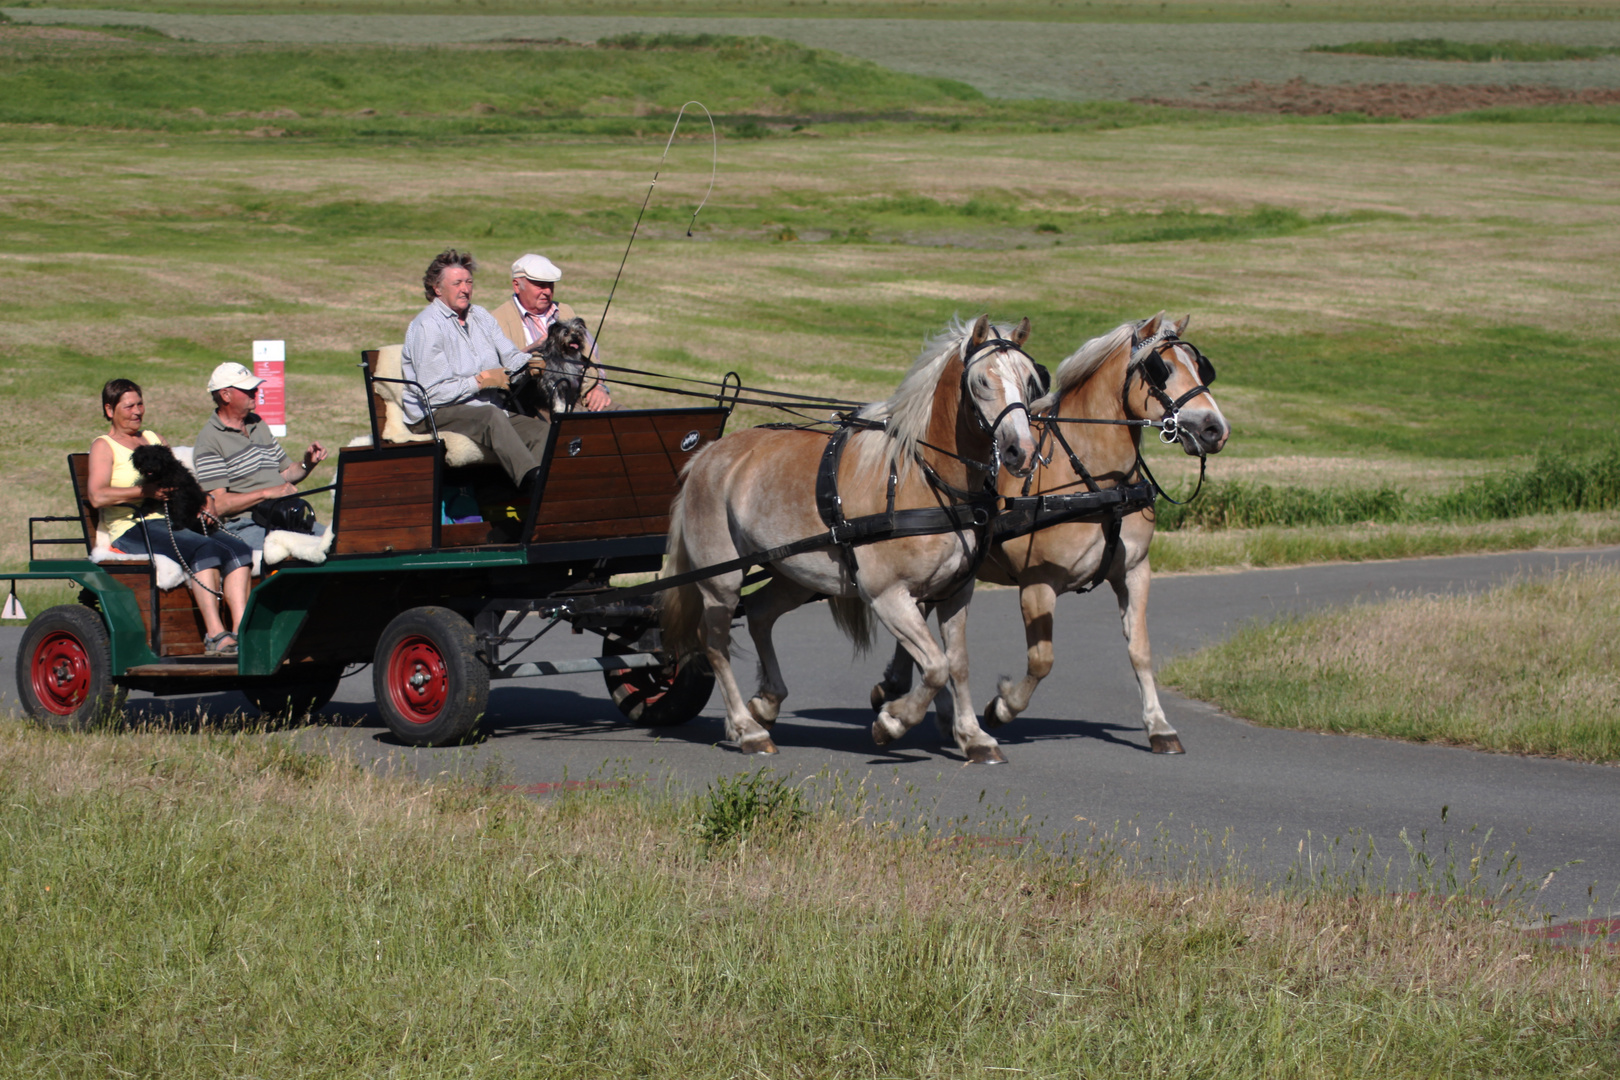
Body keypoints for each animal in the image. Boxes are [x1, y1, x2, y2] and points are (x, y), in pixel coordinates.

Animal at [664, 314, 1043, 761]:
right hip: (720, 581)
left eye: (1029, 380)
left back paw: (767, 702)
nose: (1022, 451)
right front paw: (893, 720)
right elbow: (936, 666)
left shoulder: (954, 593)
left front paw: (973, 735)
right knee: (715, 643)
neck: (923, 478)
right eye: (982, 381)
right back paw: (746, 728)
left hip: (794, 575)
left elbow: (957, 663)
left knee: (758, 614)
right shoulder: (887, 595)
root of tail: (706, 457)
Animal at [874, 310, 1224, 751]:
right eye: (1163, 369)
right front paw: (1002, 706)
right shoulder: (1037, 583)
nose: (1215, 428)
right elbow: (1042, 660)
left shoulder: (1134, 572)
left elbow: (1140, 650)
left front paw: (1159, 725)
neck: (1092, 479)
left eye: (1201, 366)